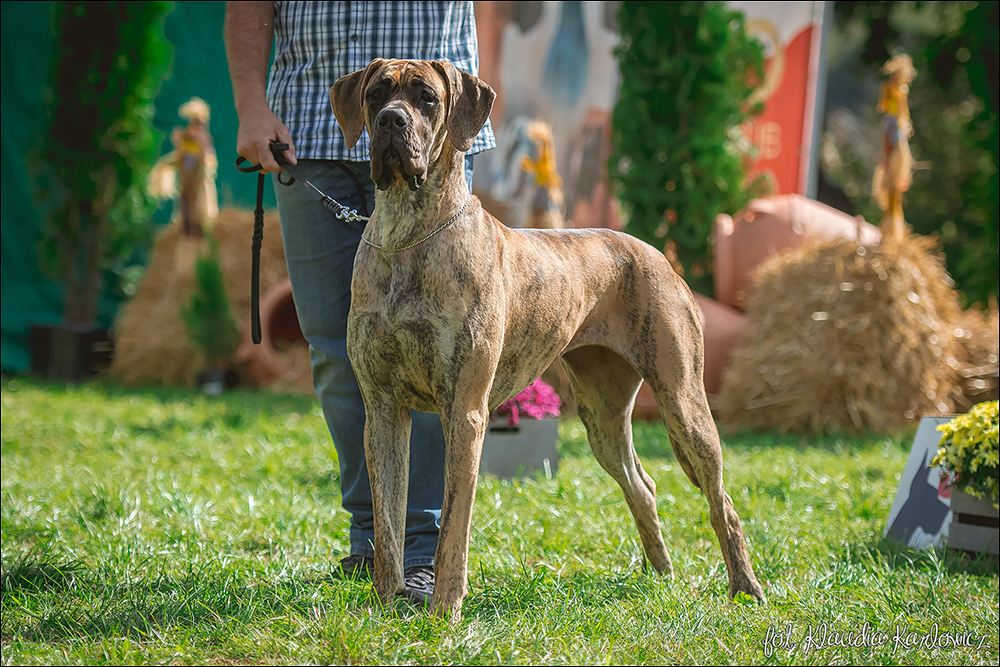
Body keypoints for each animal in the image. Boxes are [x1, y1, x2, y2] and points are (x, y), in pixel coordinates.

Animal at [330, 58, 765, 621]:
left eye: (426, 98)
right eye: (376, 94)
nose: (390, 121)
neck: (408, 233)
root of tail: (654, 250)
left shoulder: (464, 414)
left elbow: (453, 530)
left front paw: (445, 612)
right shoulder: (383, 409)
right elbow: (387, 523)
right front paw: (384, 607)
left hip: (684, 404)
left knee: (721, 500)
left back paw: (746, 588)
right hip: (602, 416)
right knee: (642, 485)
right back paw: (661, 577)